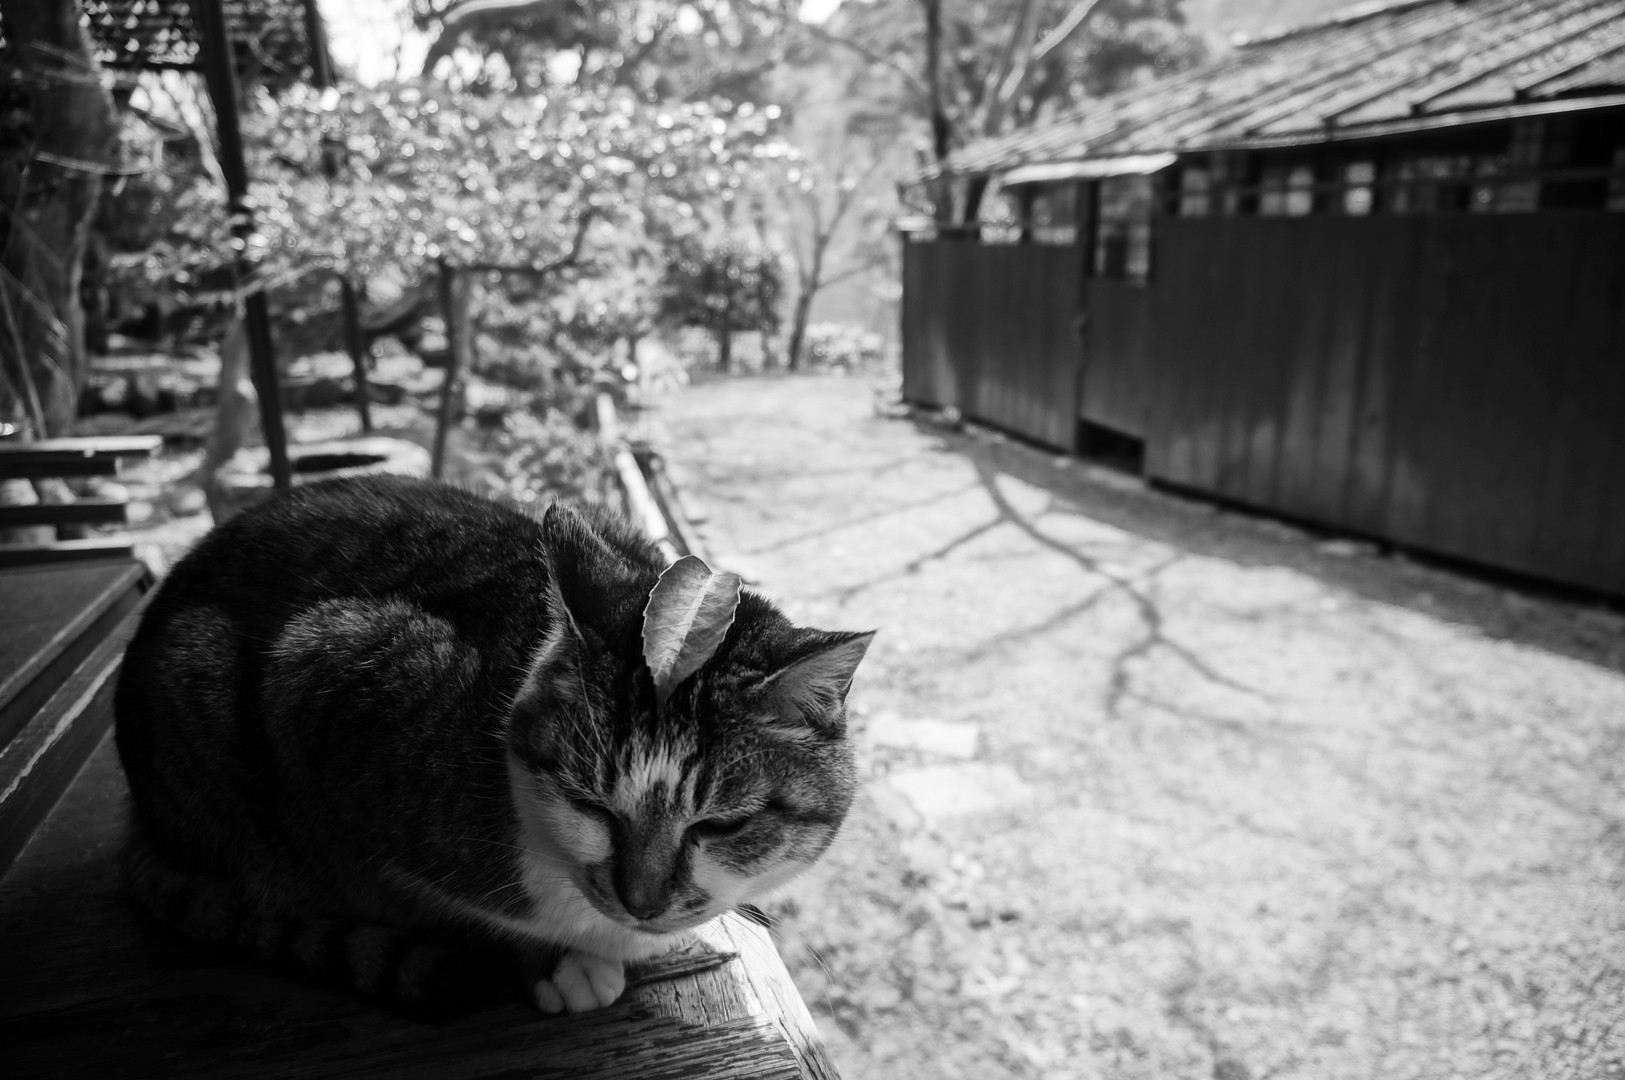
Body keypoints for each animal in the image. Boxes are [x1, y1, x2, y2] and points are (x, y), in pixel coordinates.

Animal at [114, 473, 873, 1016]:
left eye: (720, 826)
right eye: (591, 805)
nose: (643, 904)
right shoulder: (329, 671)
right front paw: (559, 964)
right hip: (206, 669)